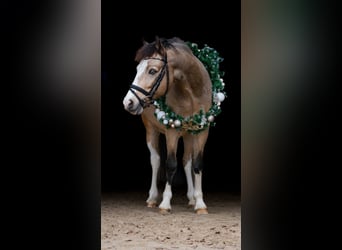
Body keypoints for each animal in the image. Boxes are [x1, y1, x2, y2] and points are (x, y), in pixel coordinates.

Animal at [122, 36, 224, 214]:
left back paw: (191, 198)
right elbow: (170, 164)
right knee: (156, 160)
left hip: (189, 134)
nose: (128, 102)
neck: (192, 93)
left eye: (152, 71)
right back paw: (152, 198)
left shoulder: (202, 131)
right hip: (151, 130)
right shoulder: (172, 132)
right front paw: (165, 203)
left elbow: (197, 164)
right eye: (137, 69)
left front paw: (200, 203)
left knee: (186, 161)